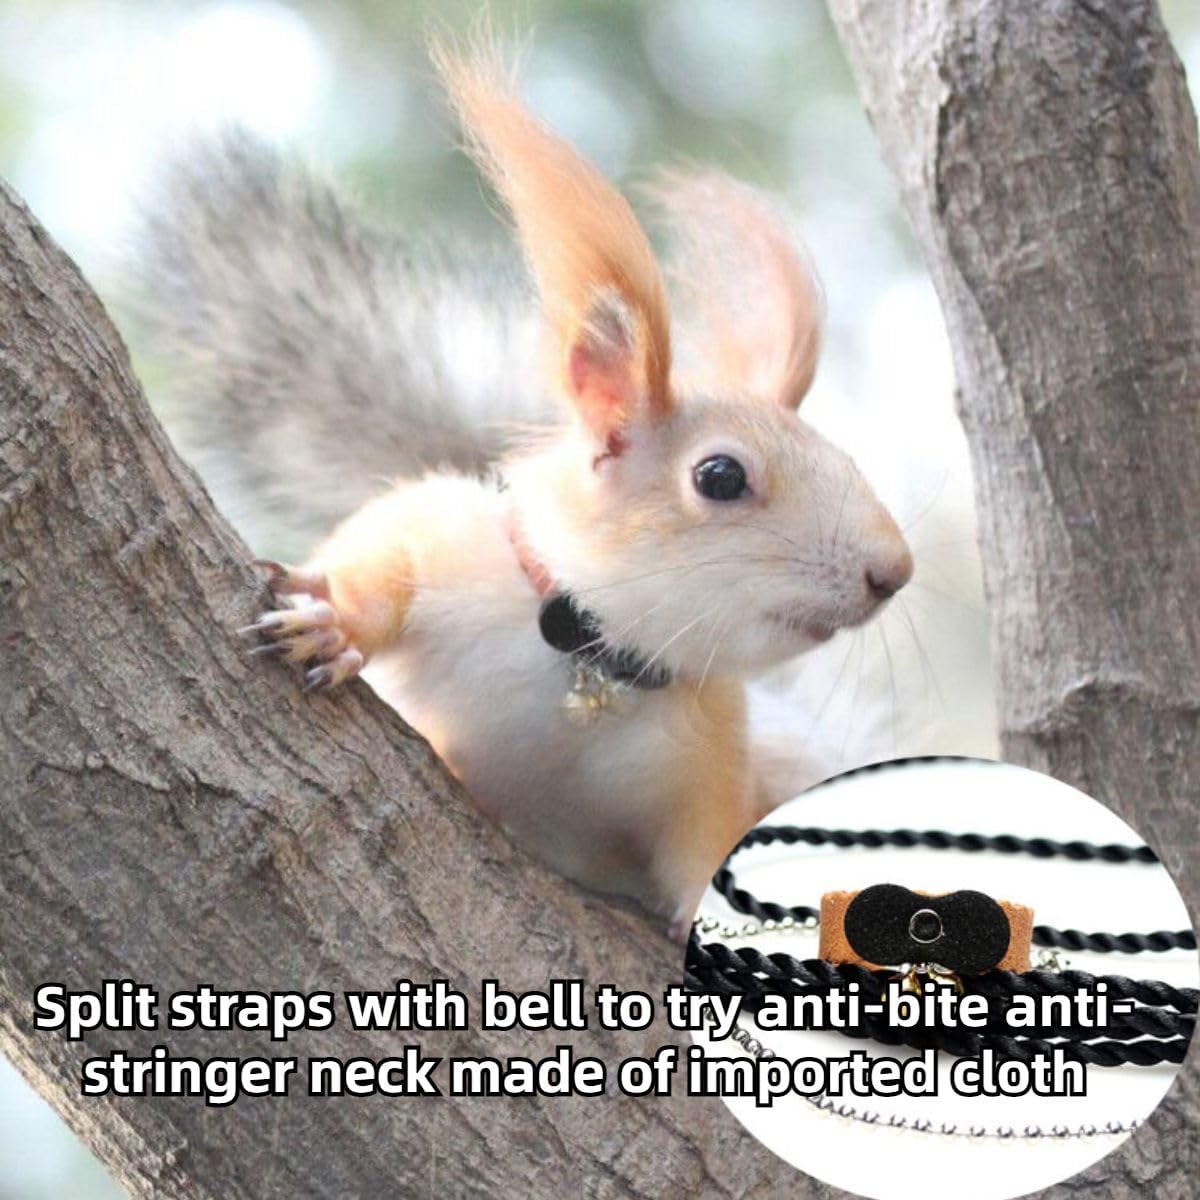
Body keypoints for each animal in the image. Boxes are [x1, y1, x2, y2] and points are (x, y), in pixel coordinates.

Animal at [132, 37, 913, 940]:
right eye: (720, 476)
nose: (893, 571)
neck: (587, 659)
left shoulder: (711, 761)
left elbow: (708, 848)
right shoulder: (447, 539)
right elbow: (383, 552)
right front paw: (331, 624)